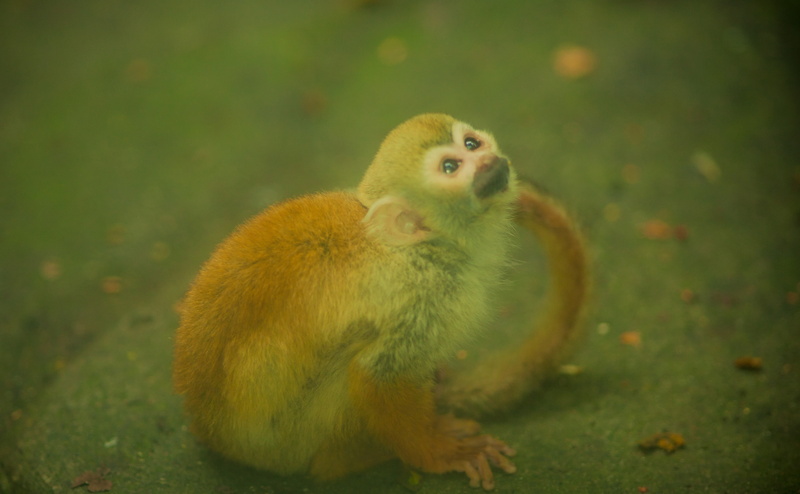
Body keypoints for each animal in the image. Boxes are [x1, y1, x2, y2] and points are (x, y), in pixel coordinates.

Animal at [173, 113, 589, 490]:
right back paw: (358, 455)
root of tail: (209, 434)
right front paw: (437, 453)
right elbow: (379, 372)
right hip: (293, 442)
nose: (489, 160)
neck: (417, 248)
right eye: (451, 167)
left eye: (471, 143)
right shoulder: (420, 299)